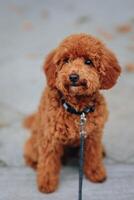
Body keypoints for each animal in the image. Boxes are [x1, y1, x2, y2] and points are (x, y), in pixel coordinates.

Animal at [23, 33, 121, 193]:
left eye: (88, 62)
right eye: (66, 60)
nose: (73, 76)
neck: (78, 110)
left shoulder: (92, 136)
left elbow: (93, 156)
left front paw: (96, 173)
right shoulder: (50, 139)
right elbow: (48, 162)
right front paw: (47, 183)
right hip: (35, 141)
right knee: (31, 153)